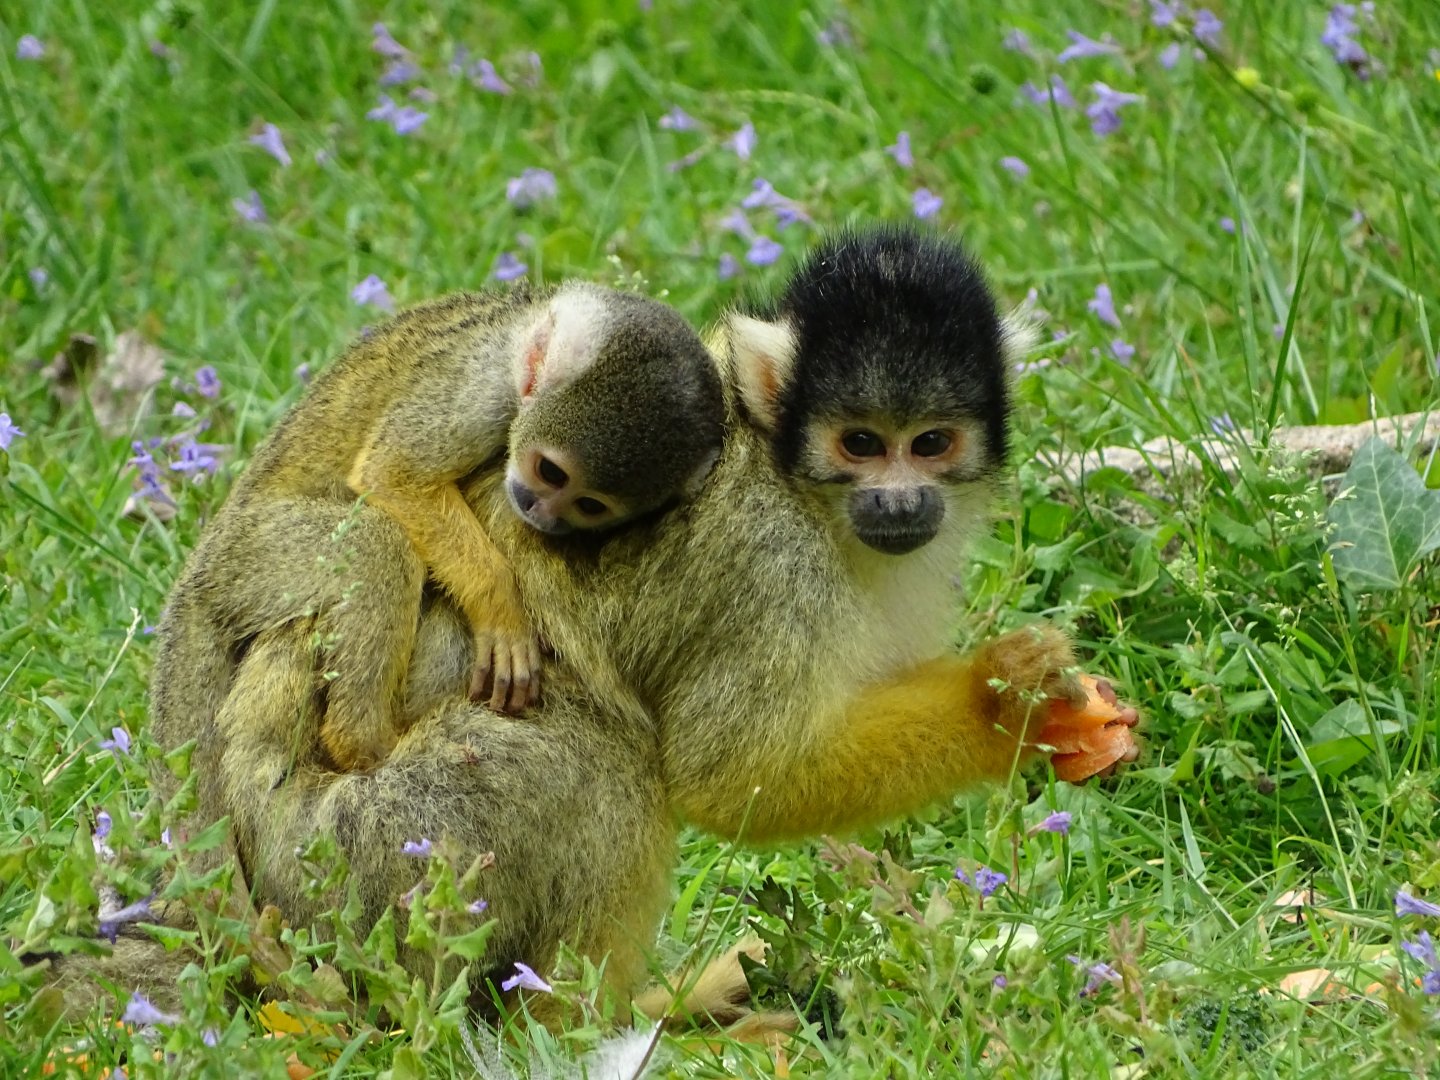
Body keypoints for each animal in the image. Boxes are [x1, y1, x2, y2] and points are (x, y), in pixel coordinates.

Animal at [149, 283, 724, 774]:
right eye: (550, 472)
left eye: (588, 504)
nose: (540, 512)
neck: (520, 329)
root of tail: (200, 574)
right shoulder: (480, 386)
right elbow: (394, 475)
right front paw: (501, 609)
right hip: (254, 556)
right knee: (375, 546)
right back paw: (362, 744)